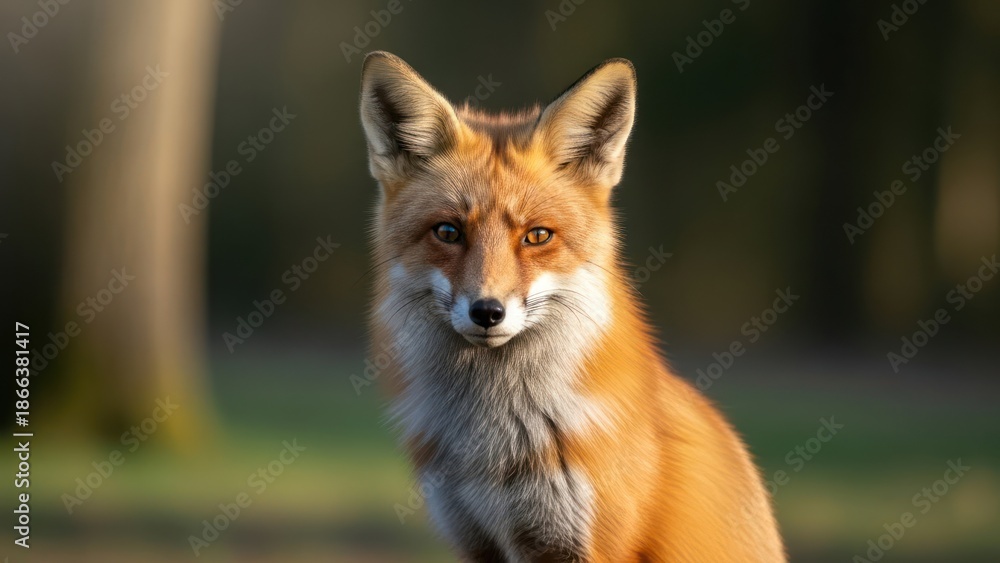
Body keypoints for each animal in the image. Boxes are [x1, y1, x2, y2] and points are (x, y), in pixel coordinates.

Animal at [359, 51, 785, 562]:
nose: (488, 312)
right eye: (448, 232)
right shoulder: (475, 540)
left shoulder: (583, 543)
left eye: (537, 236)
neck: (495, 448)